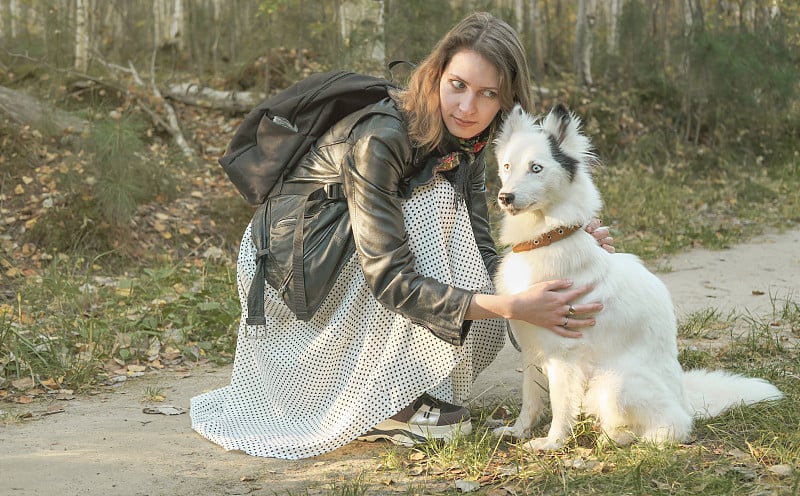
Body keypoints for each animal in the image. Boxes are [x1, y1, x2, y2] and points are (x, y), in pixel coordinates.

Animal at [494, 103, 780, 450]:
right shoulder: (533, 348)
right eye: (507, 166)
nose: (505, 197)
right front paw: (519, 431)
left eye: (536, 168)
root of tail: (685, 399)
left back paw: (618, 438)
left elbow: (561, 406)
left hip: (615, 383)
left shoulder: (564, 354)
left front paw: (551, 443)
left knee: (674, 427)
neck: (548, 236)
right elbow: (531, 399)